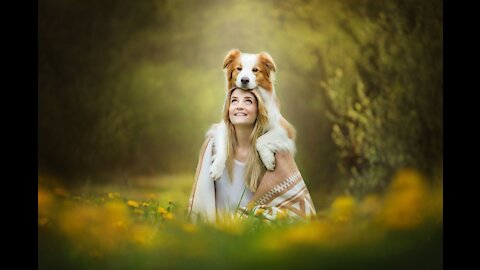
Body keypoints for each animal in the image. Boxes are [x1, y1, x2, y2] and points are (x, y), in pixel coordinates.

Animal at [209, 49, 296, 179]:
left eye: (255, 70)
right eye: (239, 68)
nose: (244, 80)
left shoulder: (285, 129)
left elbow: (259, 140)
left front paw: (268, 160)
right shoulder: (223, 126)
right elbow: (224, 144)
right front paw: (217, 167)